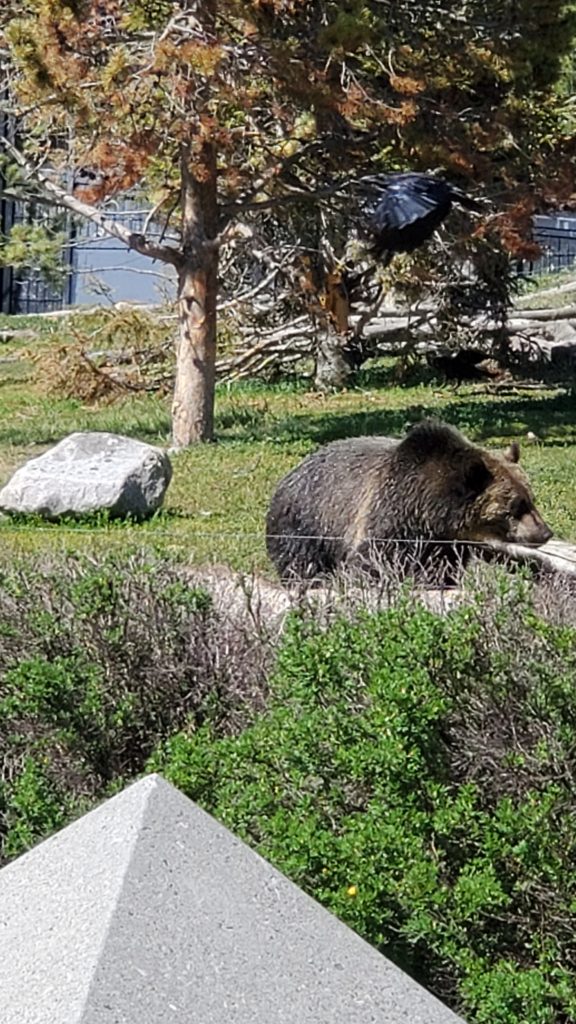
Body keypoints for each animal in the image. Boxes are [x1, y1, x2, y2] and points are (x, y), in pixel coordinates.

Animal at [264, 419, 553, 585]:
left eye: (531, 499)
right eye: (515, 507)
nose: (544, 532)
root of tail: (289, 474)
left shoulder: (444, 543)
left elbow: (441, 570)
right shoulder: (388, 515)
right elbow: (372, 561)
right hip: (307, 523)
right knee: (301, 562)